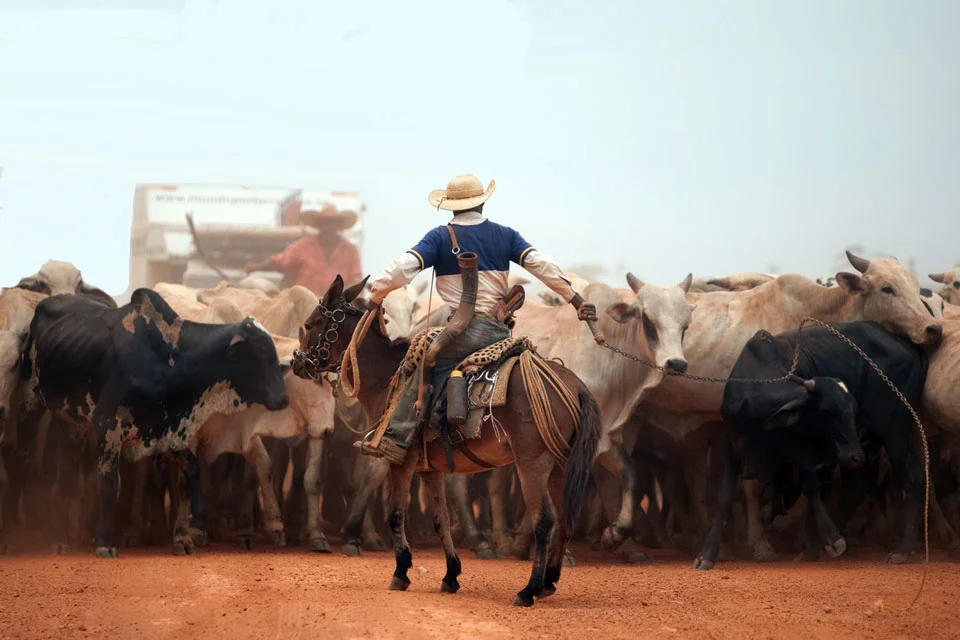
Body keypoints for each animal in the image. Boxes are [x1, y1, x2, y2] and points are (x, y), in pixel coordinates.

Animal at [8, 288, 288, 556]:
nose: (284, 398)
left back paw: (61, 538)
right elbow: (109, 483)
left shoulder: (171, 428)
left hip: (73, 420)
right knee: (26, 456)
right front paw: (104, 543)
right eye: (261, 351)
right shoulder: (108, 425)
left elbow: (192, 474)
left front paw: (193, 530)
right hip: (31, 404)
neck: (168, 358)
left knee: (66, 472)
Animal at [292, 276, 600, 604]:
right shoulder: (429, 468)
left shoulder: (400, 462)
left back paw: (529, 589)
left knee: (544, 520)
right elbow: (440, 519)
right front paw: (451, 574)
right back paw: (548, 581)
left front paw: (401, 571)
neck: (388, 378)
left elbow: (395, 514)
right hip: (560, 466)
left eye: (310, 324)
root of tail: (576, 388)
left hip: (533, 463)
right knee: (565, 517)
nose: (296, 362)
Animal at [692, 322, 928, 568]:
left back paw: (902, 548)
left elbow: (810, 486)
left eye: (852, 410)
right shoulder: (732, 444)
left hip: (893, 430)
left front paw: (832, 538)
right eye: (827, 411)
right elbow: (725, 496)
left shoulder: (801, 451)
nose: (856, 456)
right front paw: (707, 553)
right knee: (858, 483)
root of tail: (905, 344)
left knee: (913, 478)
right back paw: (815, 545)